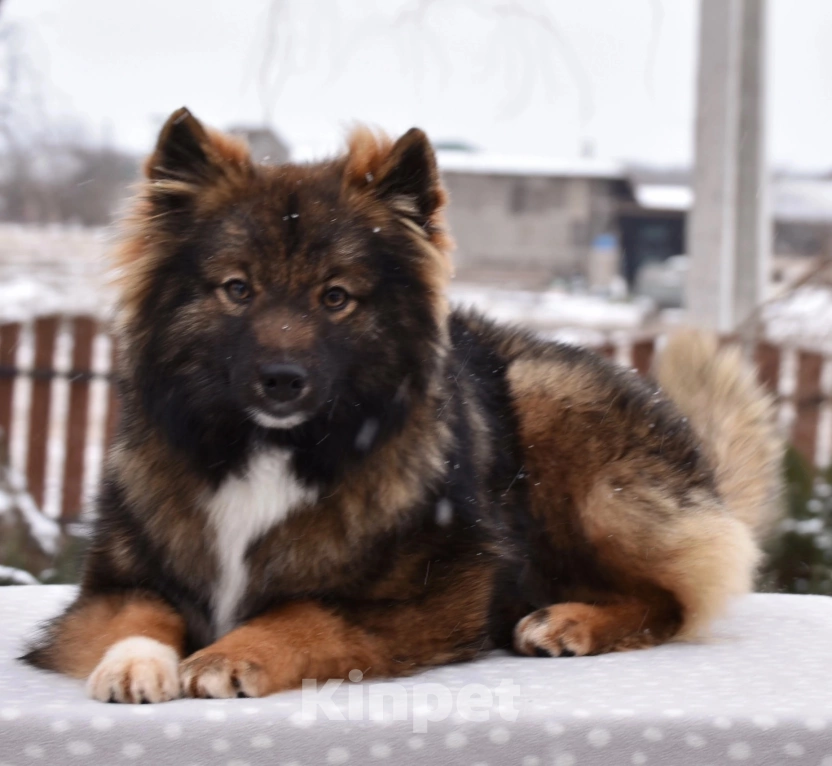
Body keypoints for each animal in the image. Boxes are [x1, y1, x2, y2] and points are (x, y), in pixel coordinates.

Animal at [21, 109, 788, 708]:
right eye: (237, 288)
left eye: (336, 297)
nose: (281, 382)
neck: (271, 449)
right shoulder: (110, 584)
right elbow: (137, 613)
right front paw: (133, 662)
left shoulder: (441, 592)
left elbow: (309, 609)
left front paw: (234, 653)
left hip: (558, 418)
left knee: (672, 600)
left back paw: (567, 622)